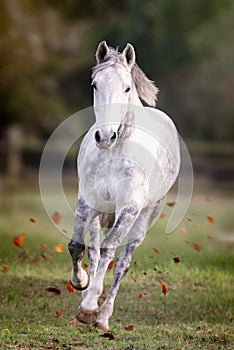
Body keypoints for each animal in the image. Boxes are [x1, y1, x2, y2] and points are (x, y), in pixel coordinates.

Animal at [67, 41, 181, 330]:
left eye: (127, 87)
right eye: (95, 84)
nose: (105, 137)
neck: (115, 152)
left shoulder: (128, 209)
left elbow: (110, 250)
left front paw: (88, 309)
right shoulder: (87, 202)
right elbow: (77, 246)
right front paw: (81, 283)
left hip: (143, 218)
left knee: (122, 262)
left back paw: (102, 317)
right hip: (98, 216)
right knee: (94, 251)